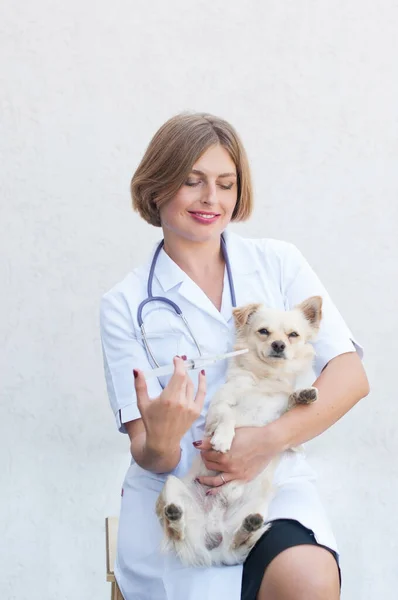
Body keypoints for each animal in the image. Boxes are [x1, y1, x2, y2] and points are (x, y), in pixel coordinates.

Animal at [156, 296, 324, 568]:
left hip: (256, 507)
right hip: (173, 487)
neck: (265, 378)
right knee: (177, 533)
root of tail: (213, 539)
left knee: (239, 543)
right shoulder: (218, 409)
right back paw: (174, 515)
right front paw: (223, 439)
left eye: (293, 335)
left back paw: (248, 527)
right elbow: (228, 416)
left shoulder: (287, 433)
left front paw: (302, 395)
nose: (279, 344)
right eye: (264, 332)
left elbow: (286, 406)